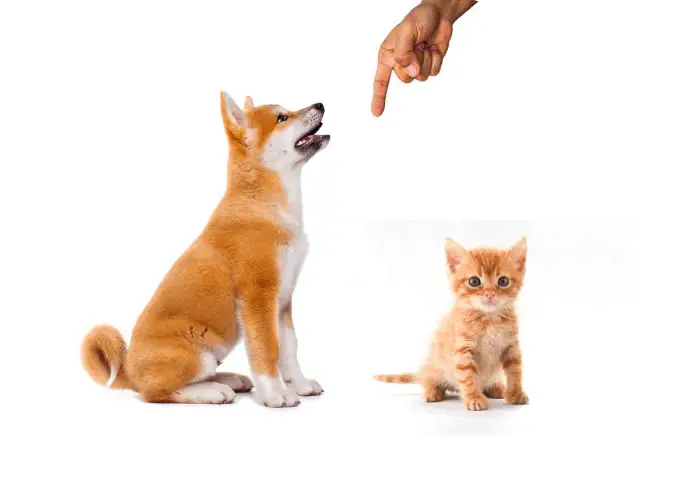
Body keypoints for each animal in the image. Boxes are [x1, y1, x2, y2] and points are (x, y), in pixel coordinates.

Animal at [80, 93, 332, 406]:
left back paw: (229, 380)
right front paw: (275, 394)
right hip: (197, 353)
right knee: (157, 392)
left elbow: (290, 349)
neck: (262, 204)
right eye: (281, 118)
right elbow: (267, 350)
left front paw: (300, 384)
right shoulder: (258, 298)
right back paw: (212, 391)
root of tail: (127, 369)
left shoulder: (283, 300)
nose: (320, 105)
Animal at [374, 237, 528, 410]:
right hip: (433, 366)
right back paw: (432, 391)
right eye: (474, 281)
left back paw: (496, 387)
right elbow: (467, 377)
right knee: (427, 380)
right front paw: (474, 398)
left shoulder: (511, 347)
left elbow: (515, 371)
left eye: (503, 281)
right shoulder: (462, 350)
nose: (490, 294)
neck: (489, 319)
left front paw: (516, 393)